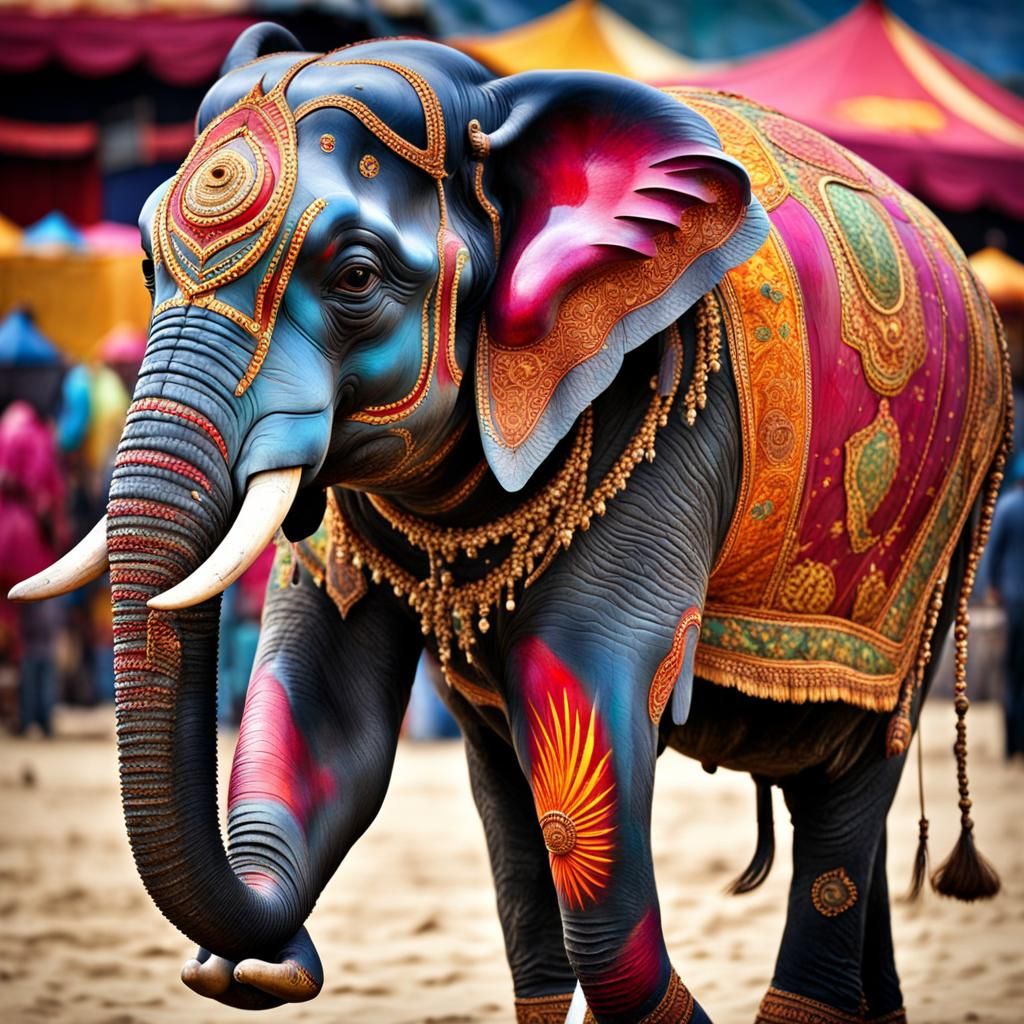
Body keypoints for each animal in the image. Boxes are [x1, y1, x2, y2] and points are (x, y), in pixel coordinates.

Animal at [10, 22, 1012, 1024]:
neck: (497, 111)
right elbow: (327, 704)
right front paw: (252, 965)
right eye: (146, 265)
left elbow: (574, 696)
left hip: (938, 542)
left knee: (853, 783)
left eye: (356, 276)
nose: (271, 956)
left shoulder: (680, 416)